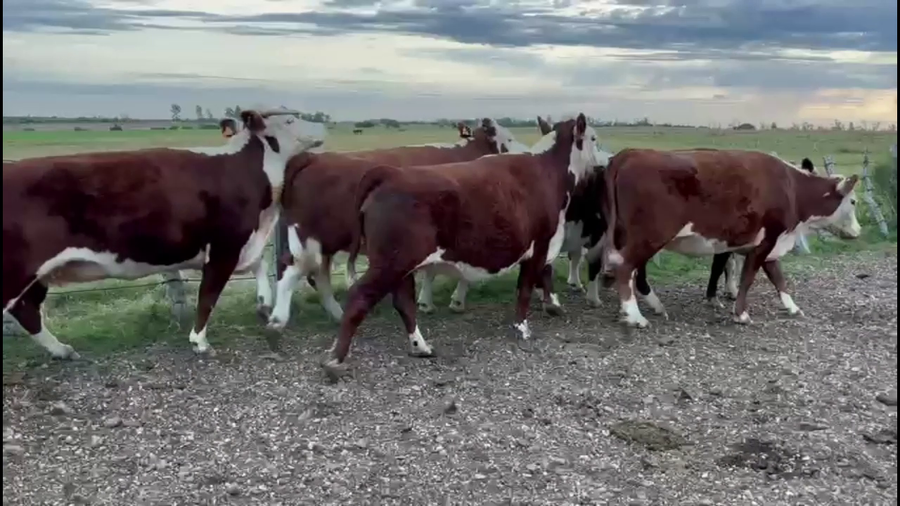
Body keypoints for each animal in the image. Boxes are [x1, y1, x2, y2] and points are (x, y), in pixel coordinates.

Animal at [3, 109, 325, 359]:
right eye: (290, 120)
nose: (322, 127)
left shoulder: (242, 242)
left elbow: (259, 264)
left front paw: (263, 303)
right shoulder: (224, 245)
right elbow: (208, 294)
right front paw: (200, 342)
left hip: (35, 275)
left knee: (27, 310)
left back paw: (62, 350)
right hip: (18, 269)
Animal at [266, 119, 530, 330]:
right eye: (508, 138)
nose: (527, 154)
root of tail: (311, 157)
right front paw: (446, 301)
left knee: (319, 275)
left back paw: (336, 314)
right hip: (312, 238)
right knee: (295, 268)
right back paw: (280, 319)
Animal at [319, 114, 604, 379]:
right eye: (594, 138)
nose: (603, 163)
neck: (548, 172)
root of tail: (389, 173)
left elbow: (535, 281)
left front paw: (552, 306)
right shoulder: (541, 244)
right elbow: (525, 288)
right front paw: (523, 328)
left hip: (400, 264)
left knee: (404, 302)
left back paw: (420, 347)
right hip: (390, 262)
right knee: (359, 297)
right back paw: (335, 359)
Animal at [593, 148, 860, 328]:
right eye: (854, 202)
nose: (858, 231)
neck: (791, 188)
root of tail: (630, 153)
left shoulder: (768, 244)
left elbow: (778, 279)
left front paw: (792, 307)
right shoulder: (765, 242)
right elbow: (747, 278)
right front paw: (741, 313)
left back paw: (652, 307)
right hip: (648, 237)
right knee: (626, 268)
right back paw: (635, 316)